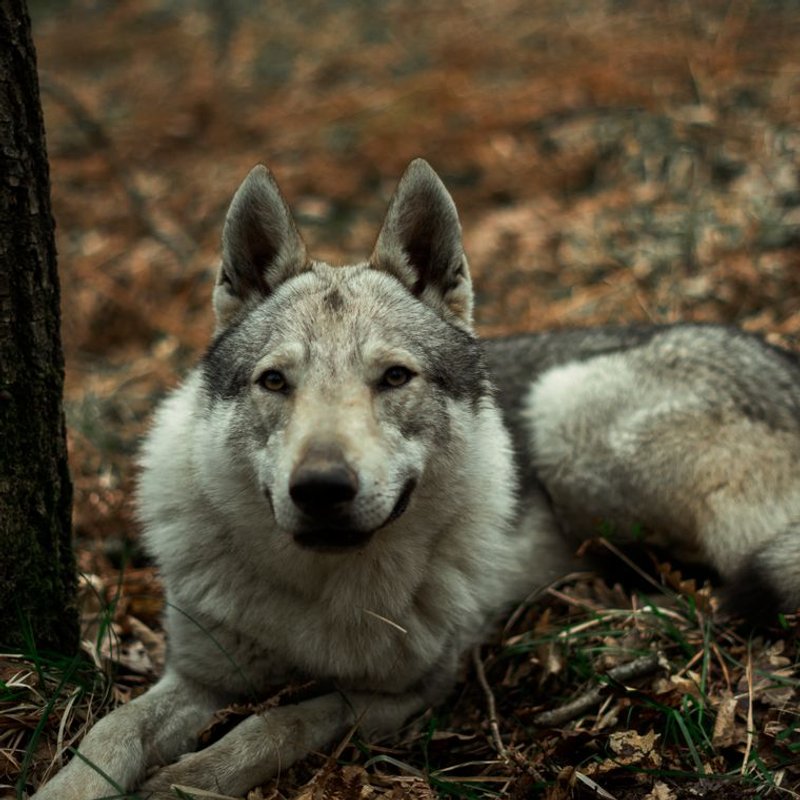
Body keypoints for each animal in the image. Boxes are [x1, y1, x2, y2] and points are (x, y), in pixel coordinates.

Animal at [33, 159, 800, 799]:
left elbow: (278, 723)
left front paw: (187, 782)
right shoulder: (196, 676)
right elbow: (109, 733)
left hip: (573, 428)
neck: (319, 597)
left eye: (394, 377)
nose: (321, 488)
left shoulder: (406, 691)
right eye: (275, 382)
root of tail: (776, 353)